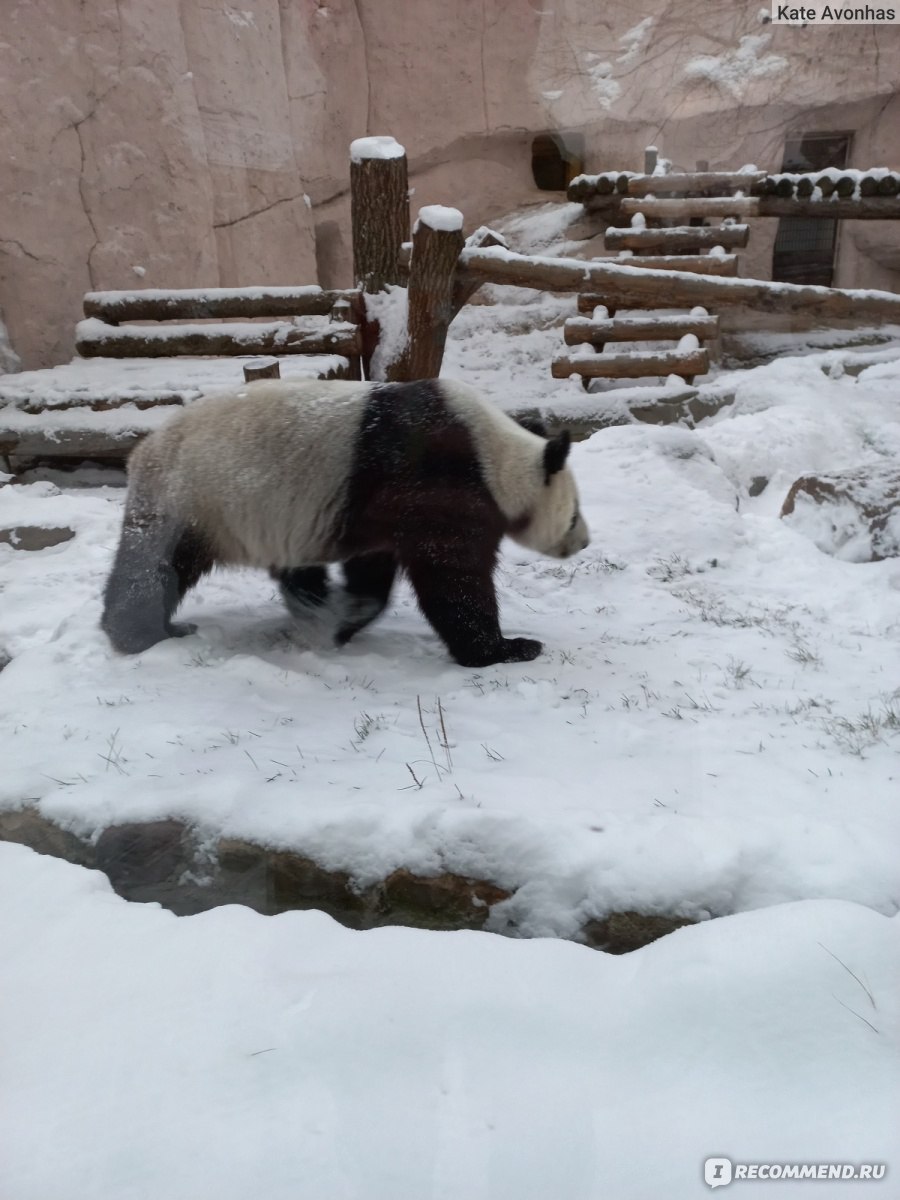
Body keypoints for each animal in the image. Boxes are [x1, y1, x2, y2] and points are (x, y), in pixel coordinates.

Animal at [102, 376, 592, 667]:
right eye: (573, 514)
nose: (585, 541)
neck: (494, 456)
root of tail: (142, 449)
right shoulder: (435, 482)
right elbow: (453, 577)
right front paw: (508, 648)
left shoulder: (377, 510)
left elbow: (375, 570)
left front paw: (345, 618)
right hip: (193, 497)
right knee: (154, 568)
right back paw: (144, 634)